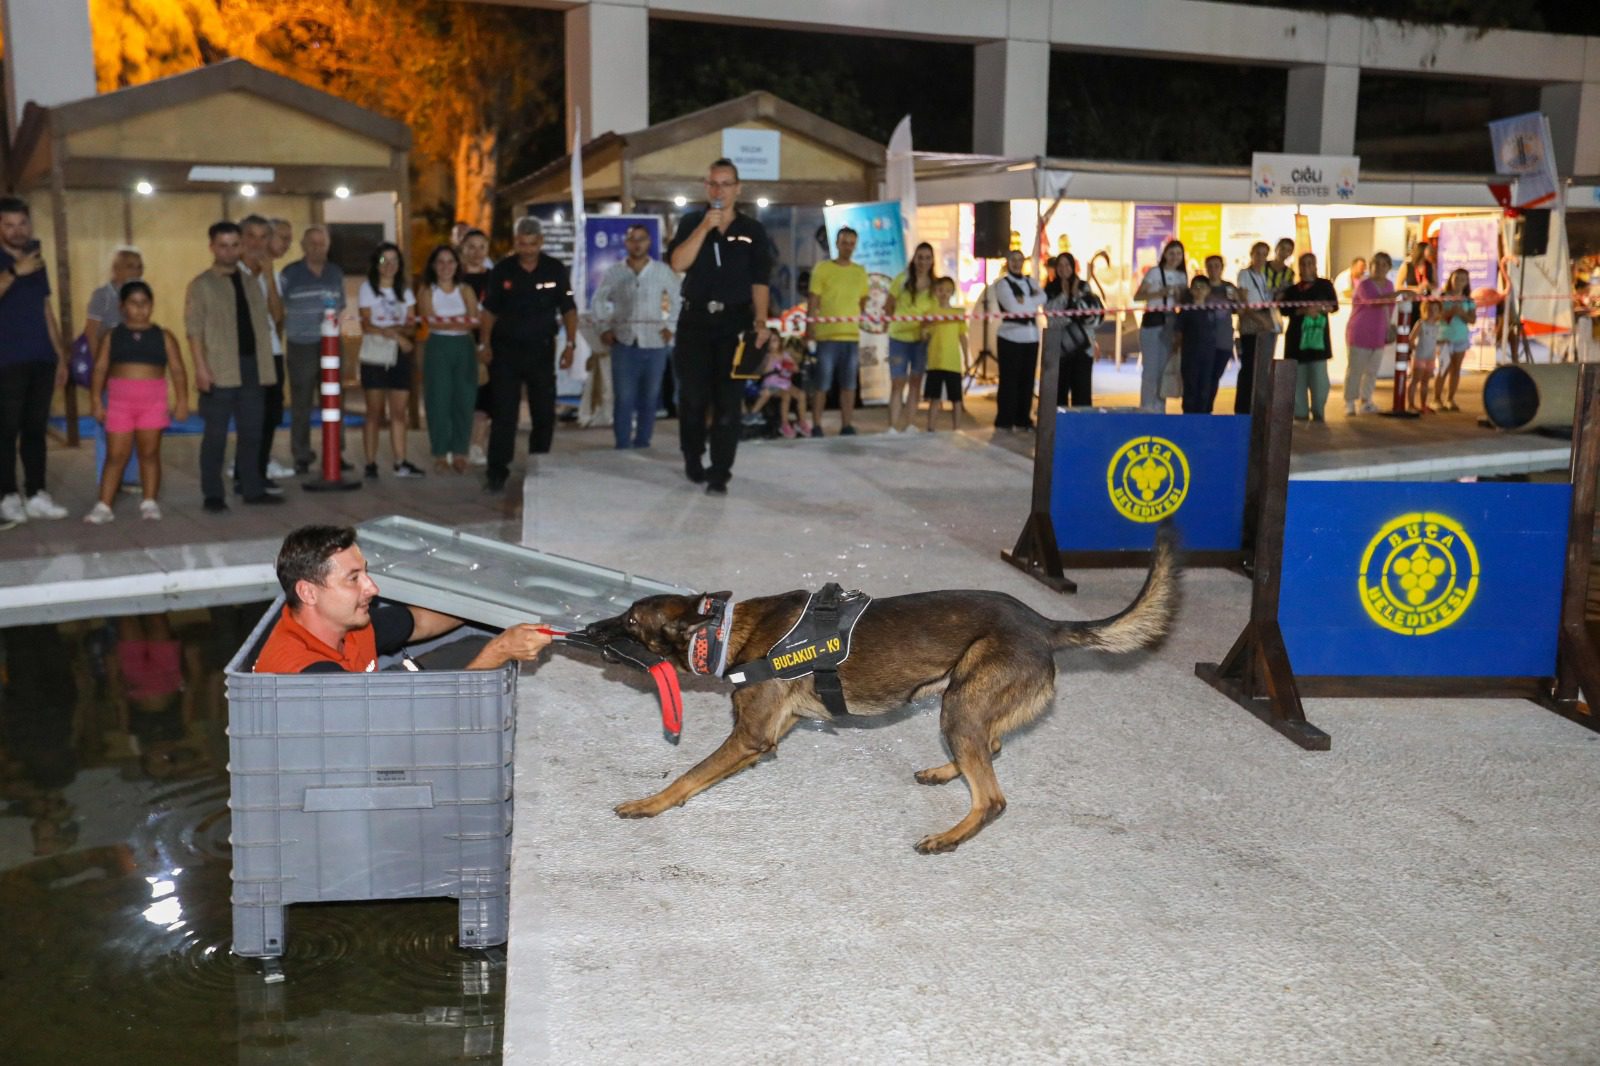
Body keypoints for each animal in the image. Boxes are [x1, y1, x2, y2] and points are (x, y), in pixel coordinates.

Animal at [585, 528, 1177, 851]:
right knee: (991, 746)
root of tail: (1043, 622)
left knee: (992, 797)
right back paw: (947, 770)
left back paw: (948, 836)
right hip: (965, 700)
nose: (589, 628)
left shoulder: (752, 737)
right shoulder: (776, 730)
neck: (729, 630)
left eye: (630, 621)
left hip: (960, 704)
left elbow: (688, 774)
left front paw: (649, 804)